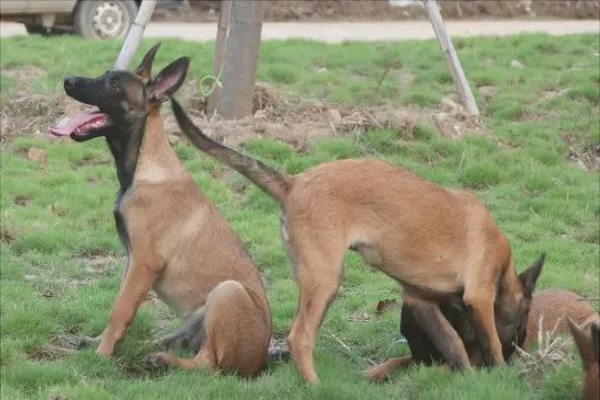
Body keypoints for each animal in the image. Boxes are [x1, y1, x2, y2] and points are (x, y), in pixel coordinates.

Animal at [50, 45, 270, 376]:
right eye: (105, 74)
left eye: (114, 84)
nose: (68, 80)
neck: (143, 165)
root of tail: (263, 358)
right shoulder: (132, 260)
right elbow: (121, 307)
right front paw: (100, 343)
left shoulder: (144, 261)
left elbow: (119, 310)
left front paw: (101, 355)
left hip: (227, 291)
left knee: (210, 365)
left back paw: (164, 360)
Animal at [171, 100, 548, 384]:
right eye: (523, 320)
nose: (520, 353)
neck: (503, 265)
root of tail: (294, 183)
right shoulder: (479, 296)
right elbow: (489, 342)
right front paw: (500, 374)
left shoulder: (420, 300)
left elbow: (453, 344)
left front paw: (468, 377)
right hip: (326, 279)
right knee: (299, 338)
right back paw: (316, 387)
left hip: (313, 278)